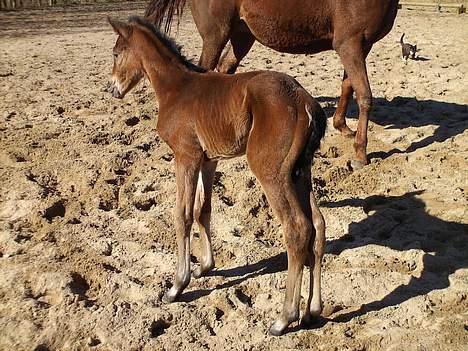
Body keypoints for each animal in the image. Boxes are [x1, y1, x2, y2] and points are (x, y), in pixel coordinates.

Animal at [107, 16, 326, 336]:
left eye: (115, 53)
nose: (112, 89)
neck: (176, 88)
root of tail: (304, 101)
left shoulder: (185, 156)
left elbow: (182, 215)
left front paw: (177, 285)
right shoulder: (208, 160)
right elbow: (203, 209)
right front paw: (205, 266)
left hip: (272, 172)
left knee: (298, 229)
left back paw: (284, 318)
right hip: (301, 171)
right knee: (318, 226)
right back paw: (313, 310)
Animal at [145, 0, 398, 170]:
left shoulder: (360, 46)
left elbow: (348, 87)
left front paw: (343, 127)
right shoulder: (349, 43)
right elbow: (364, 96)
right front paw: (361, 155)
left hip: (241, 36)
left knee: (225, 71)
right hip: (215, 35)